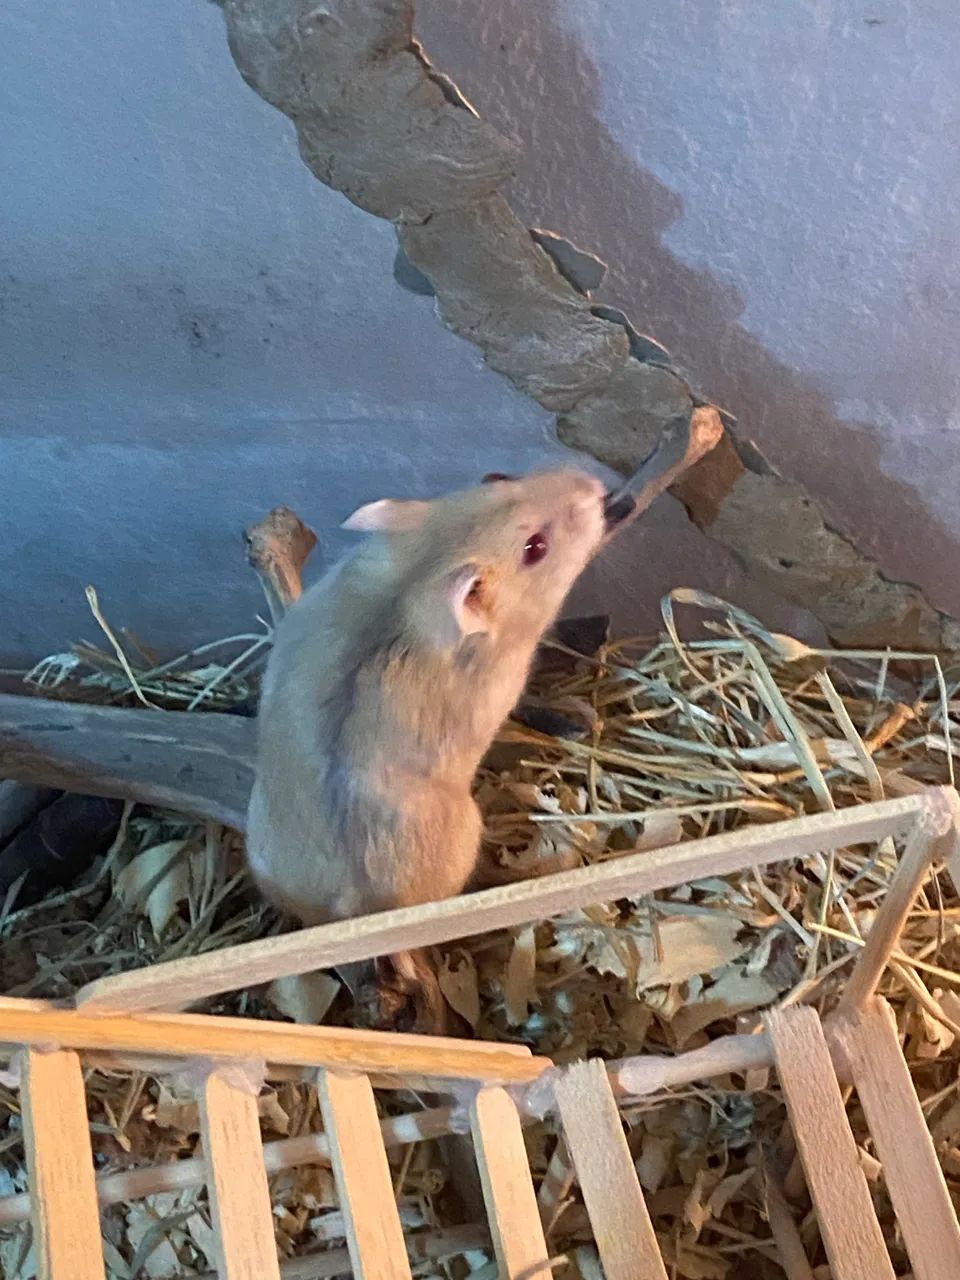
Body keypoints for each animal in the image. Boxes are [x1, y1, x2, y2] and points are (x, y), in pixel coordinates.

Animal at [246, 468, 610, 1028]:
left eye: (497, 477)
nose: (596, 486)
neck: (424, 569)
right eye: (535, 548)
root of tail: (351, 911)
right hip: (466, 833)